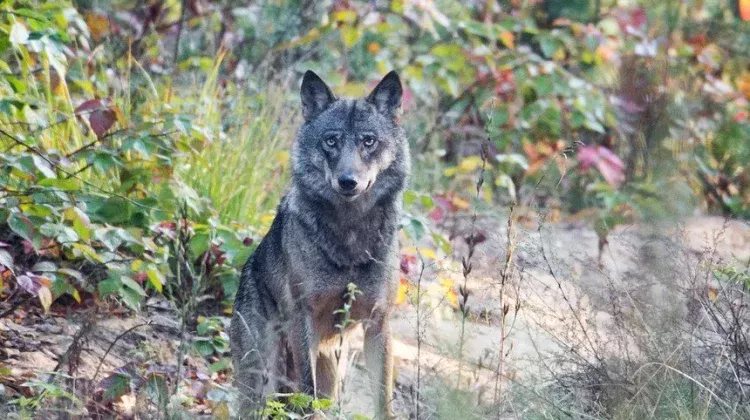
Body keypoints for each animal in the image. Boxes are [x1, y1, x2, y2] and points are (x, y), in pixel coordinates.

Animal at [230, 70, 409, 419]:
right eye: (331, 141)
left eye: (368, 141)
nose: (348, 181)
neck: (349, 234)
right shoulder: (304, 320)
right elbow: (307, 393)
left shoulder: (378, 324)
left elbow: (382, 399)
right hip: (262, 379)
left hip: (332, 373)